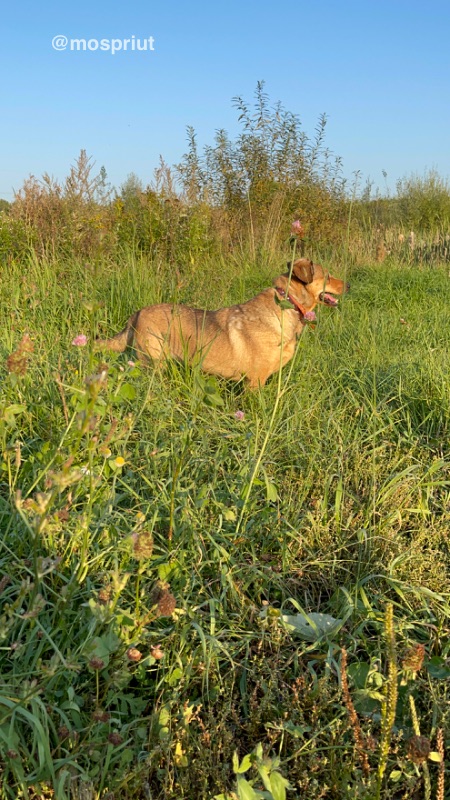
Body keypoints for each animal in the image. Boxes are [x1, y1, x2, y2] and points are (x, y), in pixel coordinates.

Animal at [95, 260, 348, 388]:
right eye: (328, 276)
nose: (349, 285)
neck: (287, 305)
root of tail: (136, 314)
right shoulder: (255, 382)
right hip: (153, 364)